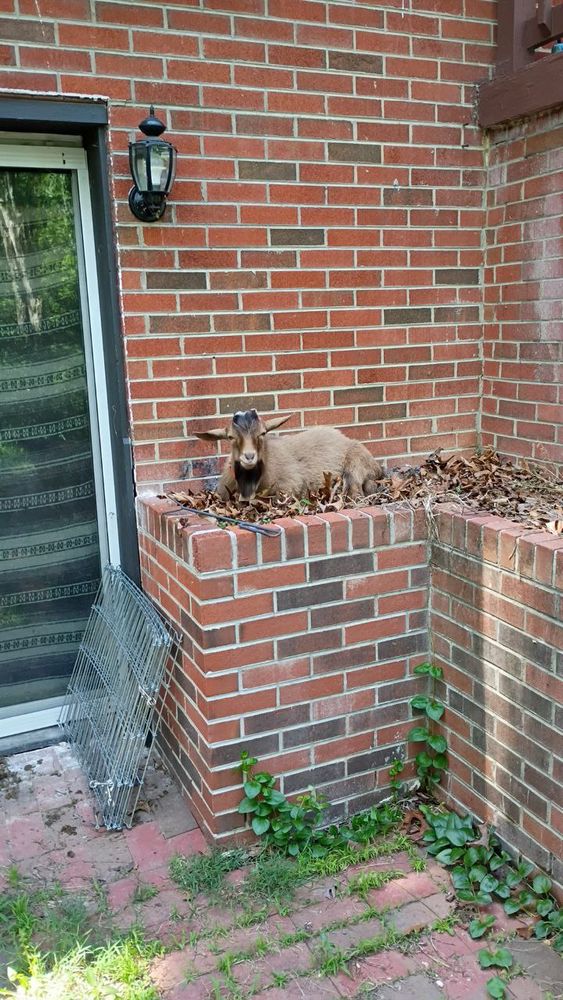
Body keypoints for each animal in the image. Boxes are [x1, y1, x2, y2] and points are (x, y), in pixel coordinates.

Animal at [193, 409, 384, 501]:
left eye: (262, 433)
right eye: (231, 437)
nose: (249, 456)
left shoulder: (289, 485)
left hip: (355, 465)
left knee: (355, 491)